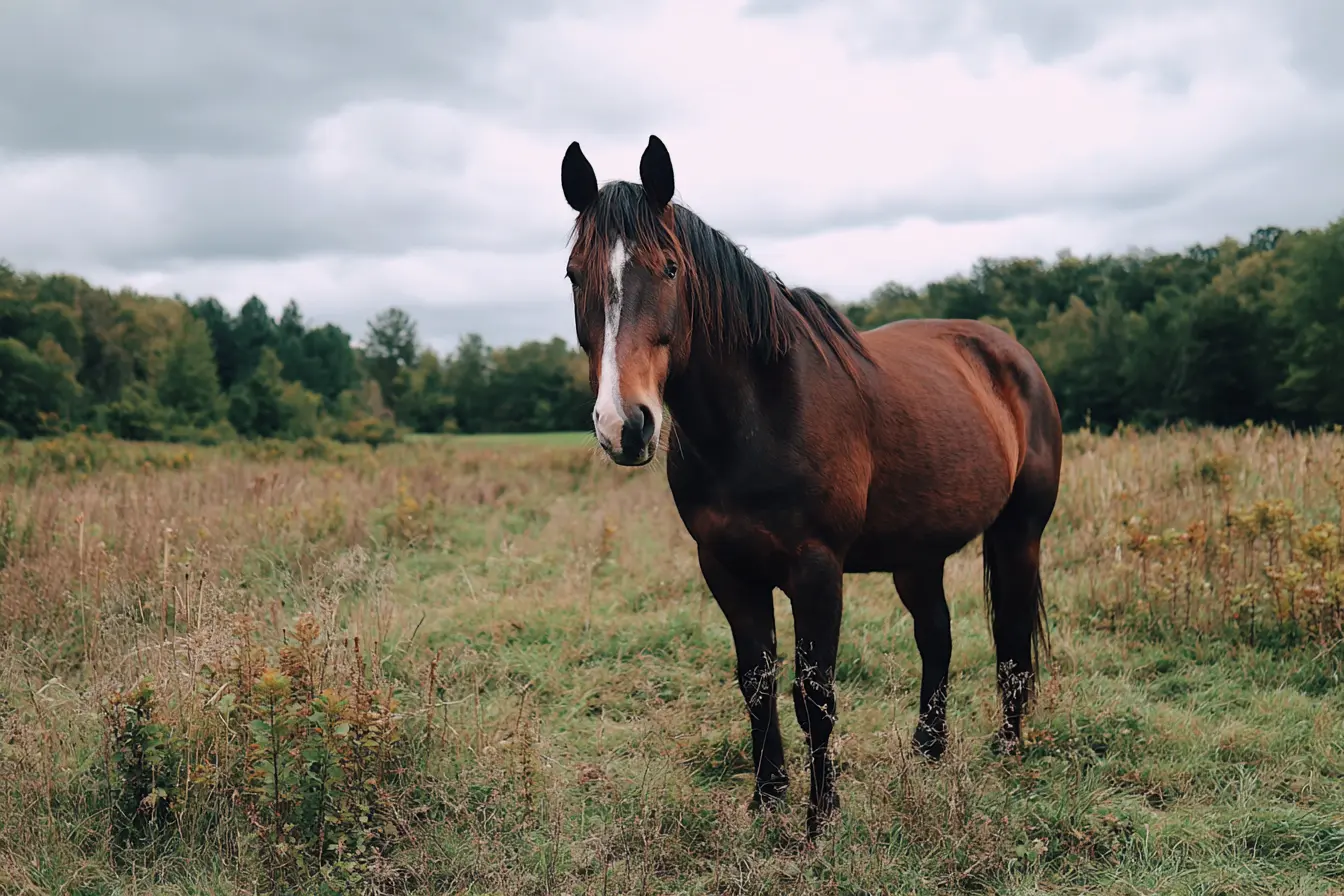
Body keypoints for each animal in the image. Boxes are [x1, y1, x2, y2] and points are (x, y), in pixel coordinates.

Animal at [559, 135, 1063, 837]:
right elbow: (757, 680)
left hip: (1019, 534)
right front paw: (767, 797)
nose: (624, 426)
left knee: (1011, 640)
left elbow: (815, 691)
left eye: (670, 269)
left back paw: (1008, 746)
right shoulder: (725, 568)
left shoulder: (816, 568)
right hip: (918, 554)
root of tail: (1010, 355)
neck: (758, 417)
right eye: (575, 275)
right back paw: (927, 751)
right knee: (936, 636)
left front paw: (822, 818)